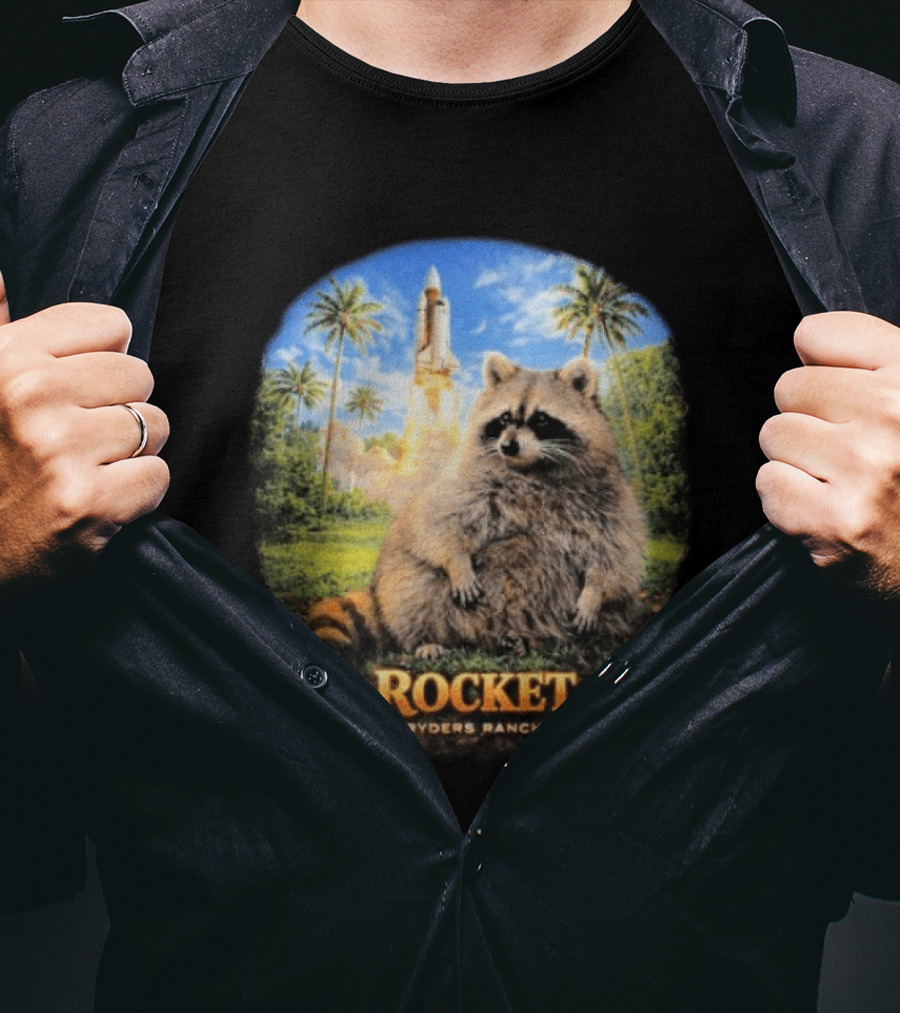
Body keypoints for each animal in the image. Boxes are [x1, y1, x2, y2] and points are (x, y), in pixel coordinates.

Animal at [352, 352, 647, 662]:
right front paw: (457, 560)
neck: (533, 470)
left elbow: (616, 553)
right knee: (412, 591)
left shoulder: (609, 498)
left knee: (617, 610)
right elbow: (439, 521)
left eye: (542, 419)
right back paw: (425, 639)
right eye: (505, 417)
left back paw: (537, 641)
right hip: (406, 581)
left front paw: (595, 591)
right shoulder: (468, 484)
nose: (508, 446)